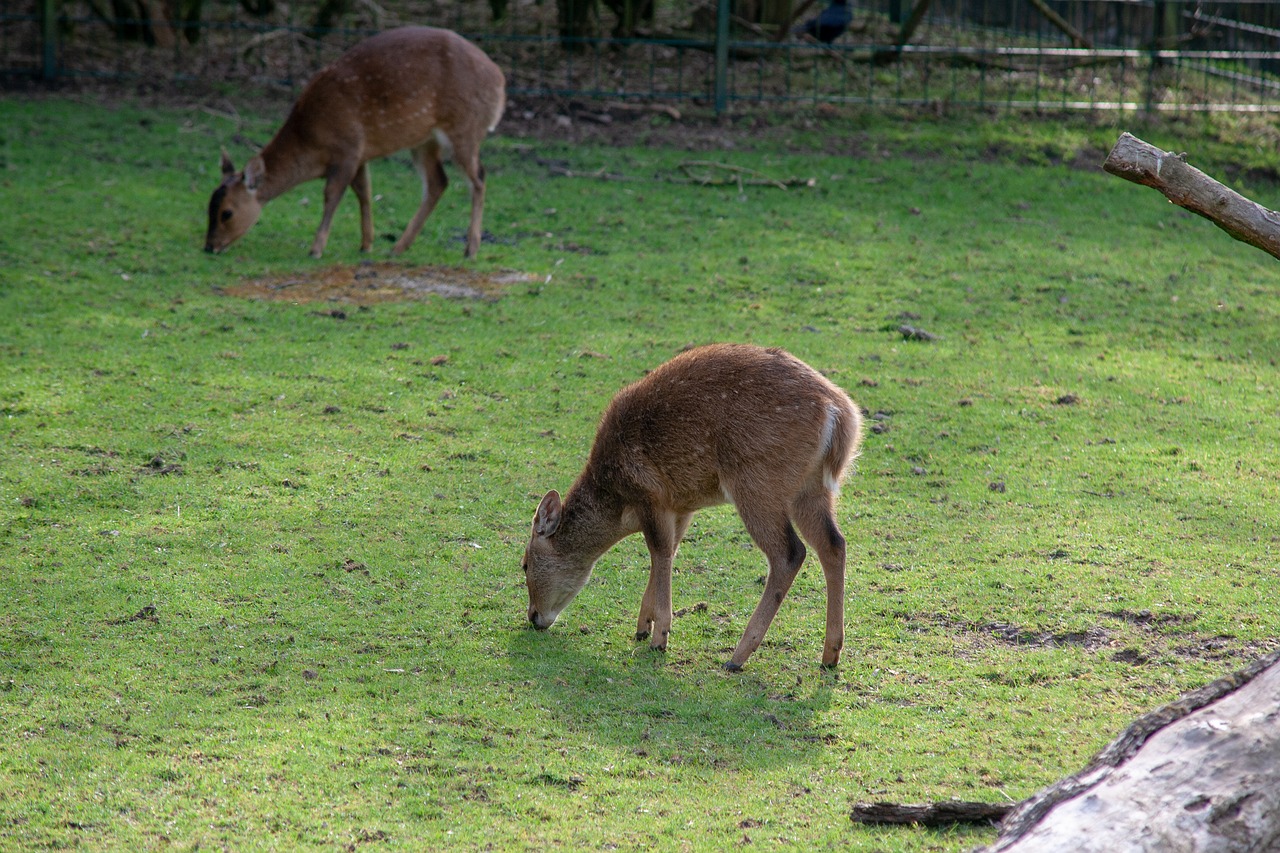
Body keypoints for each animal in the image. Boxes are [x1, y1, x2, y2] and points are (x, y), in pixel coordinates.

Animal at [204, 26, 504, 258]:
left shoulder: (347, 148)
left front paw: (316, 249)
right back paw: (399, 247)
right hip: (424, 141)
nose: (209, 247)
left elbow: (332, 195)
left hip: (464, 128)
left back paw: (471, 249)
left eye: (227, 213)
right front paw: (366, 244)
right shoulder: (361, 154)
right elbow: (364, 192)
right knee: (438, 182)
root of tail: (500, 83)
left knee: (478, 177)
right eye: (208, 206)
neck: (311, 142)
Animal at [522, 343, 870, 666]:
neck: (618, 502)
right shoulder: (680, 505)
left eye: (524, 564)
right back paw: (830, 654)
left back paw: (737, 656)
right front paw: (642, 626)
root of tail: (840, 415)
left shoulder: (650, 494)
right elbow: (670, 551)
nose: (533, 617)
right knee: (833, 543)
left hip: (756, 482)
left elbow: (660, 551)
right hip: (812, 488)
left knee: (790, 553)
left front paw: (659, 637)